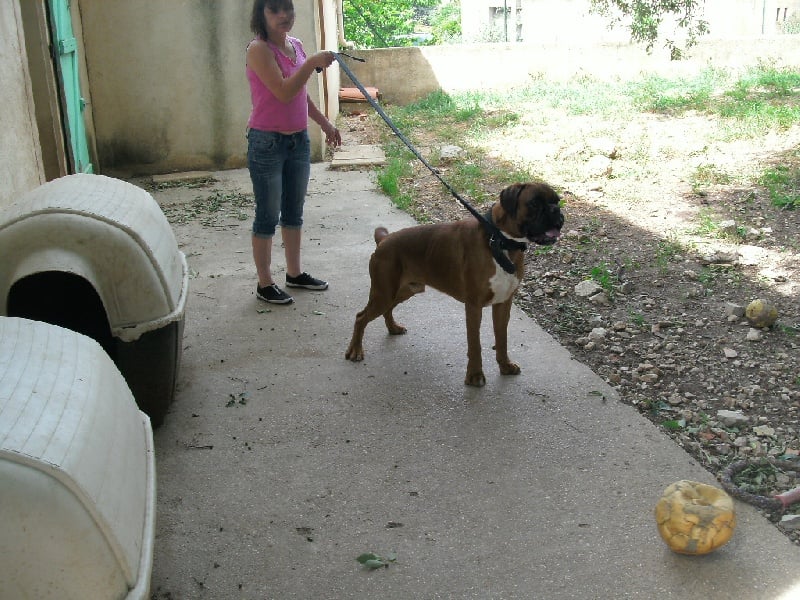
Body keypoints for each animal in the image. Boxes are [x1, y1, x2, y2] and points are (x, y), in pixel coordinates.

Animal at [344, 180, 564, 386]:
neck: (499, 241)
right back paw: (355, 350)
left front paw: (505, 366)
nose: (556, 211)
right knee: (361, 317)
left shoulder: (503, 304)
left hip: (403, 290)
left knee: (387, 310)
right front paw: (474, 375)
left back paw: (393, 328)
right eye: (534, 203)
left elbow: (502, 339)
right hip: (384, 293)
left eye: (557, 201)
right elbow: (475, 344)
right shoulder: (474, 306)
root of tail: (384, 240)